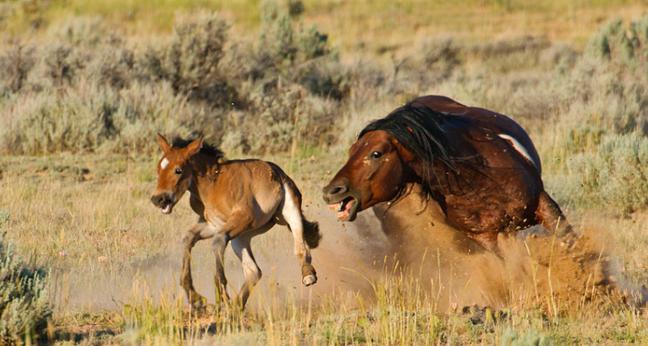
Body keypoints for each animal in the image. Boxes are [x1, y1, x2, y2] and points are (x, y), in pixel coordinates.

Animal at [153, 134, 324, 310]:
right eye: (158, 169)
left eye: (178, 170)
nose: (158, 199)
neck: (213, 185)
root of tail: (277, 171)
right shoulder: (214, 225)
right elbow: (188, 238)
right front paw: (195, 297)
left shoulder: (244, 217)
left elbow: (218, 242)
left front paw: (221, 295)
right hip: (241, 237)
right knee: (254, 271)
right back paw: (235, 309)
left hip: (289, 212)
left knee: (300, 247)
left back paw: (308, 275)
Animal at [322, 94, 572, 251]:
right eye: (351, 151)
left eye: (376, 153)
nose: (331, 191)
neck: (476, 181)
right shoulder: (490, 238)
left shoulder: (543, 204)